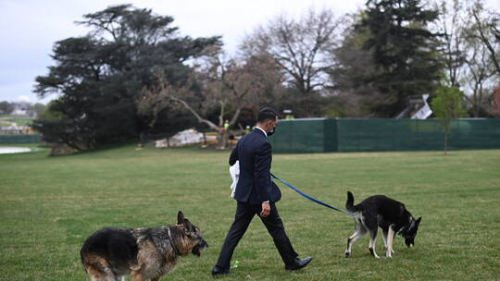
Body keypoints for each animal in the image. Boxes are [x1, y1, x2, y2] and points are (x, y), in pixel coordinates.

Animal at [79, 211, 207, 278]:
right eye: (201, 238)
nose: (208, 245)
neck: (170, 240)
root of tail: (84, 245)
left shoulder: (155, 277)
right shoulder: (140, 276)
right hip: (107, 276)